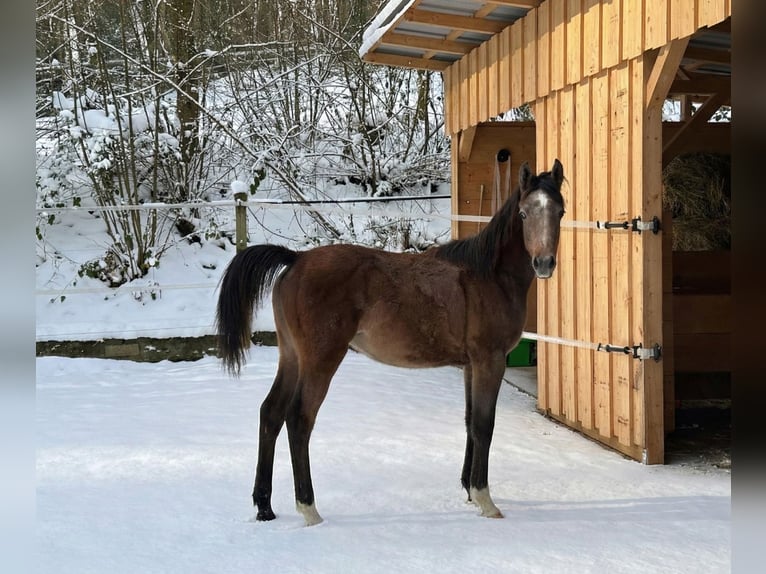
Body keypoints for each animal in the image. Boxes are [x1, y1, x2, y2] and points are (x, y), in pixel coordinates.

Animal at [216, 159, 566, 526]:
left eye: (560, 211)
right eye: (524, 213)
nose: (544, 264)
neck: (488, 276)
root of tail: (295, 259)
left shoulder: (471, 365)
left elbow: (470, 422)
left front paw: (469, 490)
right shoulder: (490, 361)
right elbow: (485, 425)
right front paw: (485, 500)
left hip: (292, 357)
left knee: (270, 413)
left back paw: (264, 507)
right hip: (321, 360)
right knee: (299, 420)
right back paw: (309, 508)